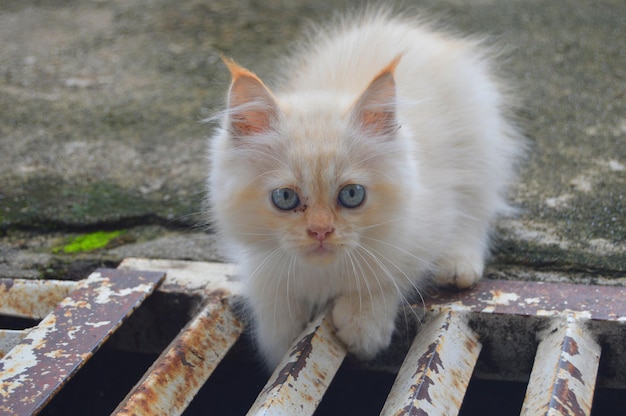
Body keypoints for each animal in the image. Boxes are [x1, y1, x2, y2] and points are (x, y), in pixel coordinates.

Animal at [207, 8, 520, 368]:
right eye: (285, 198)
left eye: (351, 195)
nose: (320, 231)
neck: (323, 275)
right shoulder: (260, 263)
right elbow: (273, 305)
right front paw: (282, 338)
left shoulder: (426, 222)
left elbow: (385, 277)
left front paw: (363, 327)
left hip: (480, 153)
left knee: (477, 213)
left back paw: (458, 266)